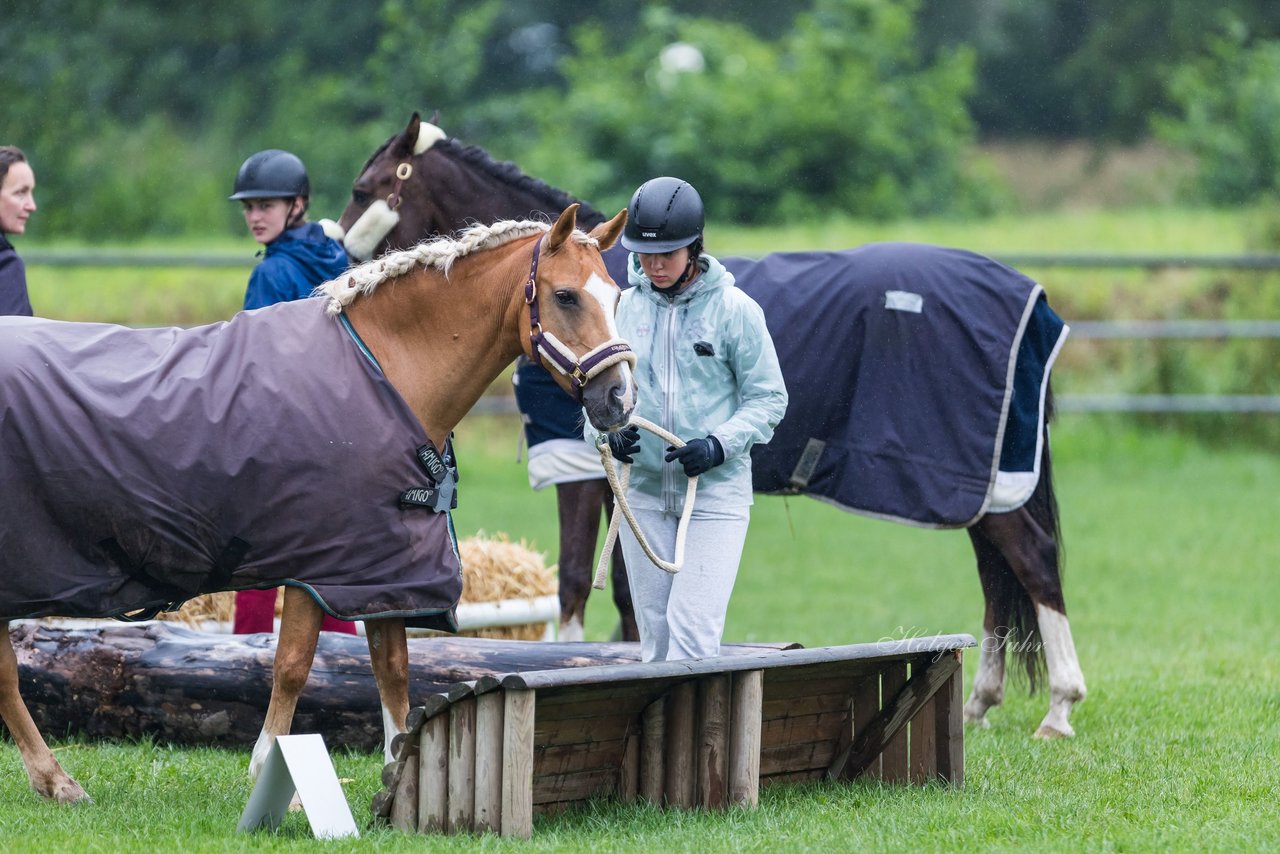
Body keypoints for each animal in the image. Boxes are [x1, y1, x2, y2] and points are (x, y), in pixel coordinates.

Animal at [2, 204, 632, 804]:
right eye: (565, 295)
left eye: (618, 294)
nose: (620, 399)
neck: (386, 369)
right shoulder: (320, 566)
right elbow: (292, 665)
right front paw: (270, 774)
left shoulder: (381, 570)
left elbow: (393, 671)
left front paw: (396, 773)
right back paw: (56, 780)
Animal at [335, 113, 1085, 742]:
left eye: (364, 187)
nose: (339, 271)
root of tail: (1033, 297)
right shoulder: (614, 469)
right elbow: (629, 594)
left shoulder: (575, 467)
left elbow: (574, 582)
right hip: (990, 486)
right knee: (998, 574)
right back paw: (982, 702)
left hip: (988, 483)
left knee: (1033, 560)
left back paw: (1059, 708)